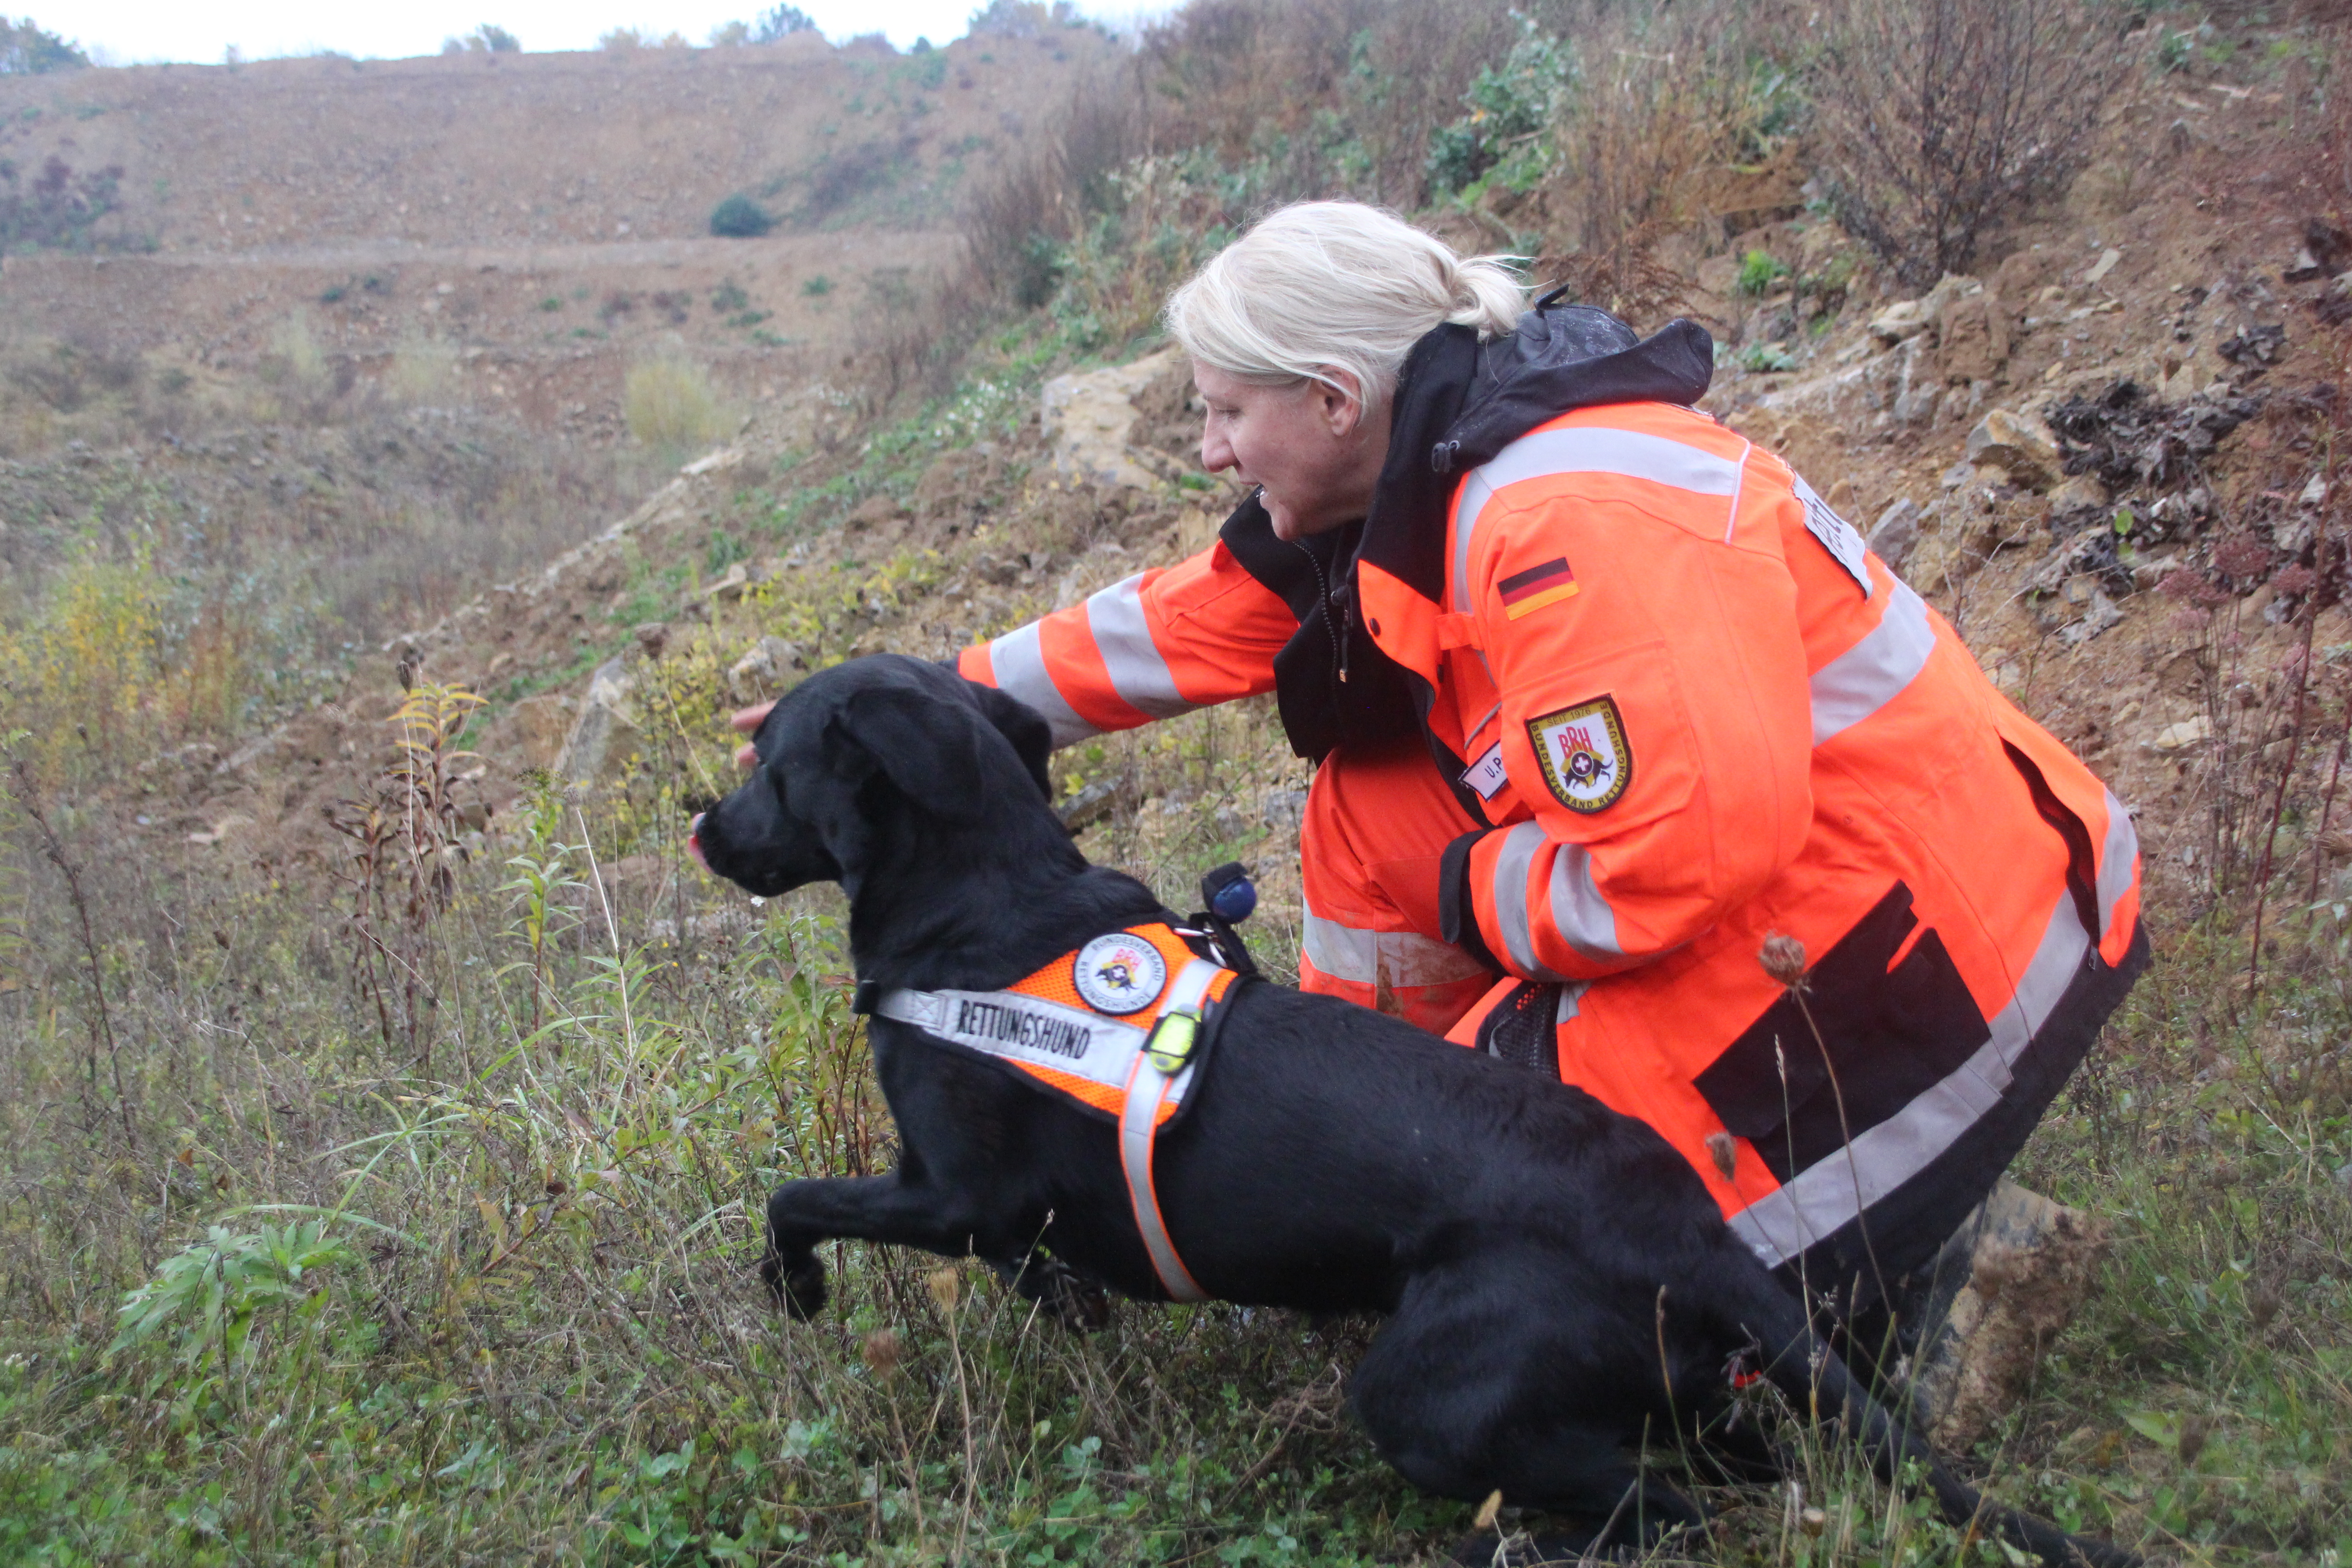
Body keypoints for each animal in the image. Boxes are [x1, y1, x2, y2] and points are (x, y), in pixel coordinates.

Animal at [691, 653, 2136, 1568]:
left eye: (770, 761)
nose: (702, 825)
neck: (984, 902)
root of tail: (1678, 1226)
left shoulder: (953, 1192)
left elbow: (795, 1197)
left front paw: (795, 1291)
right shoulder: (998, 1221)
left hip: (1426, 1394)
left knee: (1663, 1514)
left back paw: (1502, 1552)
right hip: (1662, 1384)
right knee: (1747, 1470)